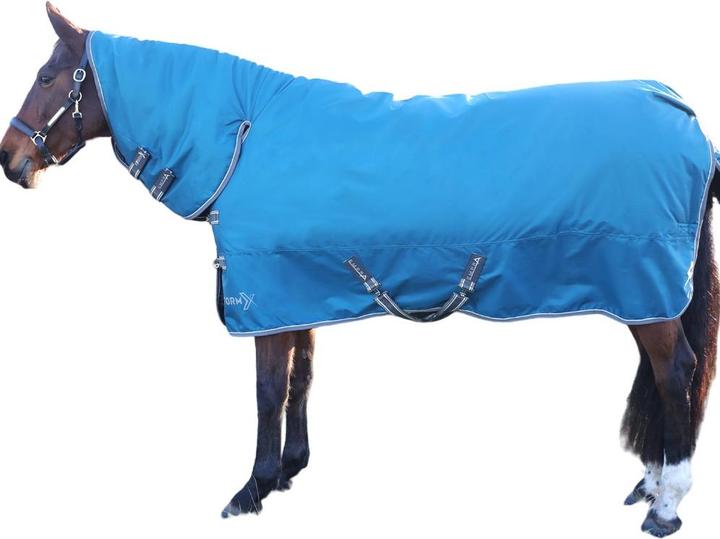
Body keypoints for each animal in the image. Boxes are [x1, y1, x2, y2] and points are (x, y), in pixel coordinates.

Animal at [1, 4, 718, 537]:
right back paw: (649, 483)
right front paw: (290, 469)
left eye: (46, 77)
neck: (245, 136)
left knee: (675, 372)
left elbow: (267, 389)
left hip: (645, 286)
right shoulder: (298, 289)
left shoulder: (266, 293)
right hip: (643, 292)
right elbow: (301, 380)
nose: (11, 160)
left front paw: (251, 488)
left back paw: (667, 504)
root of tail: (686, 116)